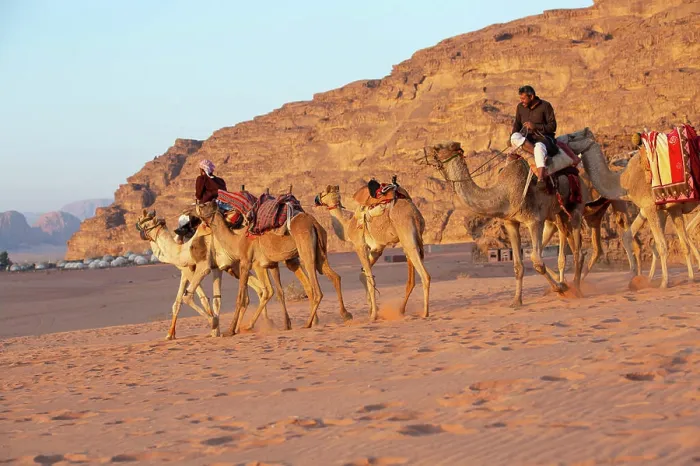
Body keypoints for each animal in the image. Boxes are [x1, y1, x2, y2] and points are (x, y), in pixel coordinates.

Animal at [136, 209, 267, 340]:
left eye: (144, 224)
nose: (138, 228)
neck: (183, 249)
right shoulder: (215, 267)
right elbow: (215, 300)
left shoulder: (202, 266)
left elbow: (190, 297)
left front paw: (214, 325)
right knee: (259, 290)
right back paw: (250, 326)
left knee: (261, 289)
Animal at [192, 202, 352, 334]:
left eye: (204, 204)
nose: (195, 207)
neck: (237, 241)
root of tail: (313, 222)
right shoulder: (268, 264)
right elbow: (276, 292)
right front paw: (286, 324)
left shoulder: (246, 262)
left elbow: (242, 296)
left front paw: (232, 330)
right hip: (320, 253)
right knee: (334, 276)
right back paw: (345, 315)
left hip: (305, 249)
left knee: (316, 288)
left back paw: (308, 323)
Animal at [314, 184, 431, 320]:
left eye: (323, 193)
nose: (316, 199)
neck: (348, 225)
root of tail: (415, 214)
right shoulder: (377, 249)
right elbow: (363, 275)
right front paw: (372, 309)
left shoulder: (360, 245)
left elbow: (370, 279)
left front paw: (373, 314)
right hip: (413, 238)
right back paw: (406, 310)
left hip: (407, 235)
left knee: (424, 274)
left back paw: (425, 313)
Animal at [423, 140, 588, 307]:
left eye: (437, 148)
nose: (424, 152)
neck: (505, 194)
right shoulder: (511, 223)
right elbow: (518, 265)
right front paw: (516, 301)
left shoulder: (534, 221)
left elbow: (537, 261)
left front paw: (561, 287)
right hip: (557, 215)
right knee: (565, 240)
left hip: (576, 208)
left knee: (578, 252)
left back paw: (577, 289)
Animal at [567, 127, 700, 287]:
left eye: (573, 136)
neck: (625, 180)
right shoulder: (671, 208)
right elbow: (681, 243)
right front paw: (690, 278)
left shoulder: (649, 207)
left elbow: (661, 245)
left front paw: (663, 282)